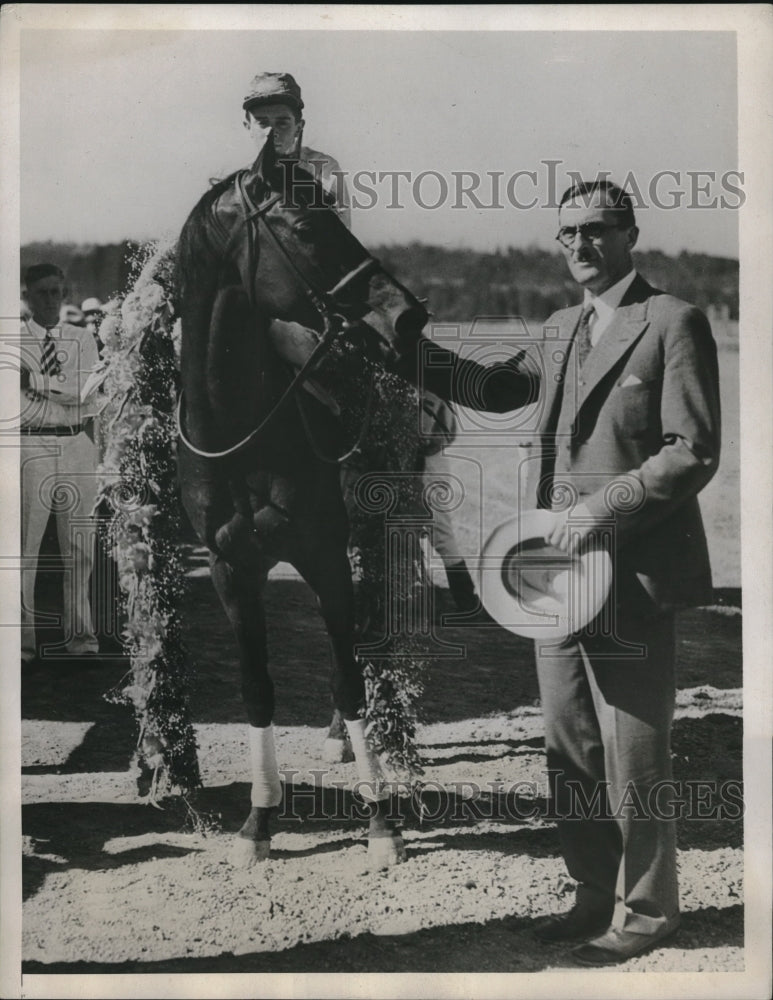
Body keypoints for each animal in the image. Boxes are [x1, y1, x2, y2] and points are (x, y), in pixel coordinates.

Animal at [175, 135, 536, 868]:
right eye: (307, 228)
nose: (408, 316)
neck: (244, 435)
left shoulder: (322, 557)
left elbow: (347, 673)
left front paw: (380, 823)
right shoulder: (232, 570)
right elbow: (258, 690)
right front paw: (258, 824)